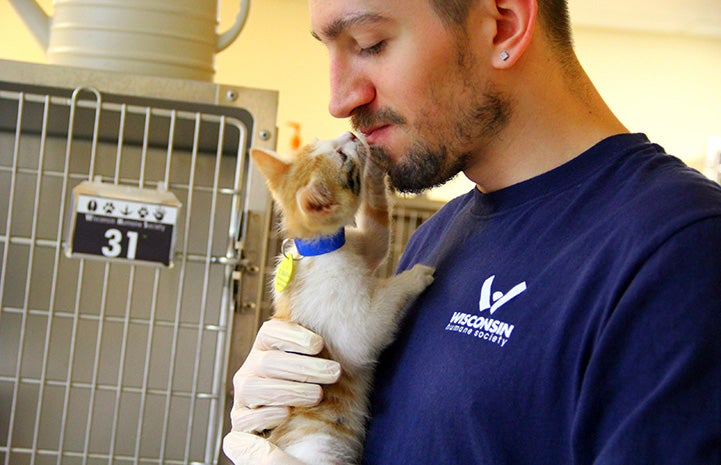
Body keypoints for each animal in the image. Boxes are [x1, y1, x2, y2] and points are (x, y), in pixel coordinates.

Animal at [250, 131, 434, 464]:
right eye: (341, 157)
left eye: (317, 143)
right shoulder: (353, 331)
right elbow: (373, 319)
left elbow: (378, 227)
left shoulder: (363, 244)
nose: (350, 134)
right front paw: (414, 277)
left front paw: (375, 170)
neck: (320, 249)